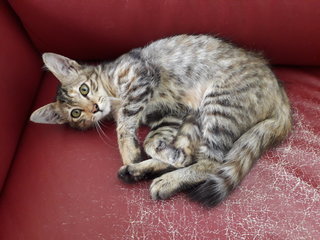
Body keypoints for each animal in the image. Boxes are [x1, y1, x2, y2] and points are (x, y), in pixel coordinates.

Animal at [30, 33, 292, 206]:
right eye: (76, 113)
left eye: (84, 89)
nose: (94, 108)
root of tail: (280, 92)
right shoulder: (170, 114)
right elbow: (151, 140)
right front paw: (147, 154)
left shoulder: (140, 78)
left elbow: (125, 126)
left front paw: (129, 152)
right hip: (196, 117)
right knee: (193, 156)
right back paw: (142, 171)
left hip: (219, 105)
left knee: (212, 161)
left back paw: (164, 178)